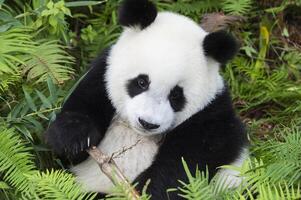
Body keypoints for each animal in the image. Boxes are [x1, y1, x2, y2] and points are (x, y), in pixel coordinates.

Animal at [44, 0, 246, 198]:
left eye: (176, 95)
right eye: (141, 82)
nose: (148, 123)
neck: (138, 134)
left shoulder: (211, 113)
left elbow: (190, 159)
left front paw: (149, 189)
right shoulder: (102, 76)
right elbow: (82, 108)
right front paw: (75, 138)